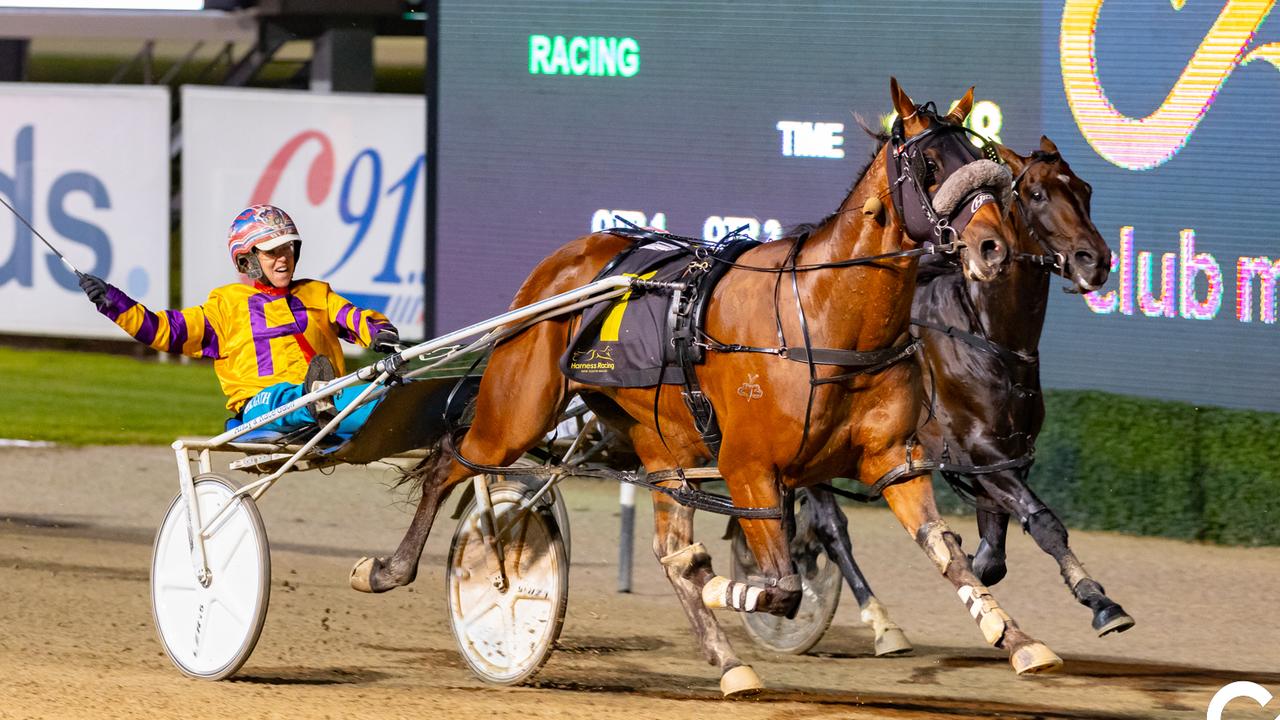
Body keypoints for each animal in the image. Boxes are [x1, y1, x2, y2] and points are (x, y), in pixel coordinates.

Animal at [350, 81, 1059, 691]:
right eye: (931, 164)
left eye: (984, 160)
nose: (993, 249)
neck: (824, 315)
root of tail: (560, 264)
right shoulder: (749, 467)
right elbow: (780, 583)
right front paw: (733, 588)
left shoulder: (893, 461)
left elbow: (946, 551)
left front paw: (1020, 640)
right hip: (517, 409)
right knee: (452, 460)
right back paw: (393, 569)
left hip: (664, 442)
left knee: (665, 543)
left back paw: (729, 664)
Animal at [803, 135, 1136, 650]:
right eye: (1036, 194)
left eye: (1085, 189)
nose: (1095, 260)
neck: (988, 335)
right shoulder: (979, 450)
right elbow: (1043, 522)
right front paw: (1100, 601)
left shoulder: (1008, 455)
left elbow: (993, 554)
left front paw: (972, 563)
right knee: (830, 527)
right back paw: (876, 621)